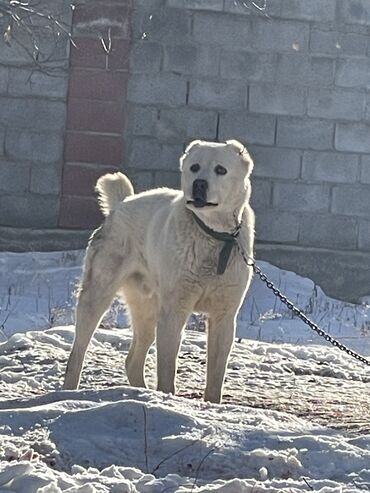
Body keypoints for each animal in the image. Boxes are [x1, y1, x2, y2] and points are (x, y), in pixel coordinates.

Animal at [63, 139, 254, 404]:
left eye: (220, 170)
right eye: (194, 167)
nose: (199, 184)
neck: (212, 236)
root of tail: (121, 204)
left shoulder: (224, 316)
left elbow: (216, 374)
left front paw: (211, 404)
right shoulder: (174, 311)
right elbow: (167, 367)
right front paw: (168, 398)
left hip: (147, 309)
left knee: (132, 361)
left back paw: (140, 393)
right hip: (97, 295)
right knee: (78, 350)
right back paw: (68, 391)